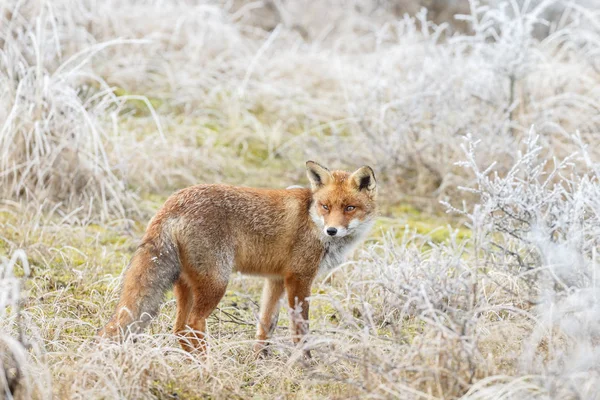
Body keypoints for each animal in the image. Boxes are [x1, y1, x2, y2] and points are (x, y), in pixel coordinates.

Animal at [100, 162, 378, 356]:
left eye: (349, 208)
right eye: (326, 207)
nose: (331, 230)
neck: (311, 219)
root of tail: (172, 202)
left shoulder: (276, 280)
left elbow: (266, 325)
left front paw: (258, 362)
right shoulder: (299, 278)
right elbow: (300, 331)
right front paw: (305, 365)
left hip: (187, 285)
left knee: (179, 330)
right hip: (217, 283)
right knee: (193, 324)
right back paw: (208, 365)